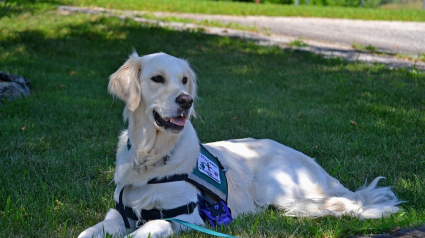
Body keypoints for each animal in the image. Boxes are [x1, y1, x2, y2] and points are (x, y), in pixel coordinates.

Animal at [78, 52, 400, 238]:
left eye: (184, 80)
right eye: (157, 78)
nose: (186, 101)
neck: (151, 158)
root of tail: (316, 165)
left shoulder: (185, 216)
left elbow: (146, 230)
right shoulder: (120, 213)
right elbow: (88, 232)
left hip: (276, 186)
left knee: (342, 204)